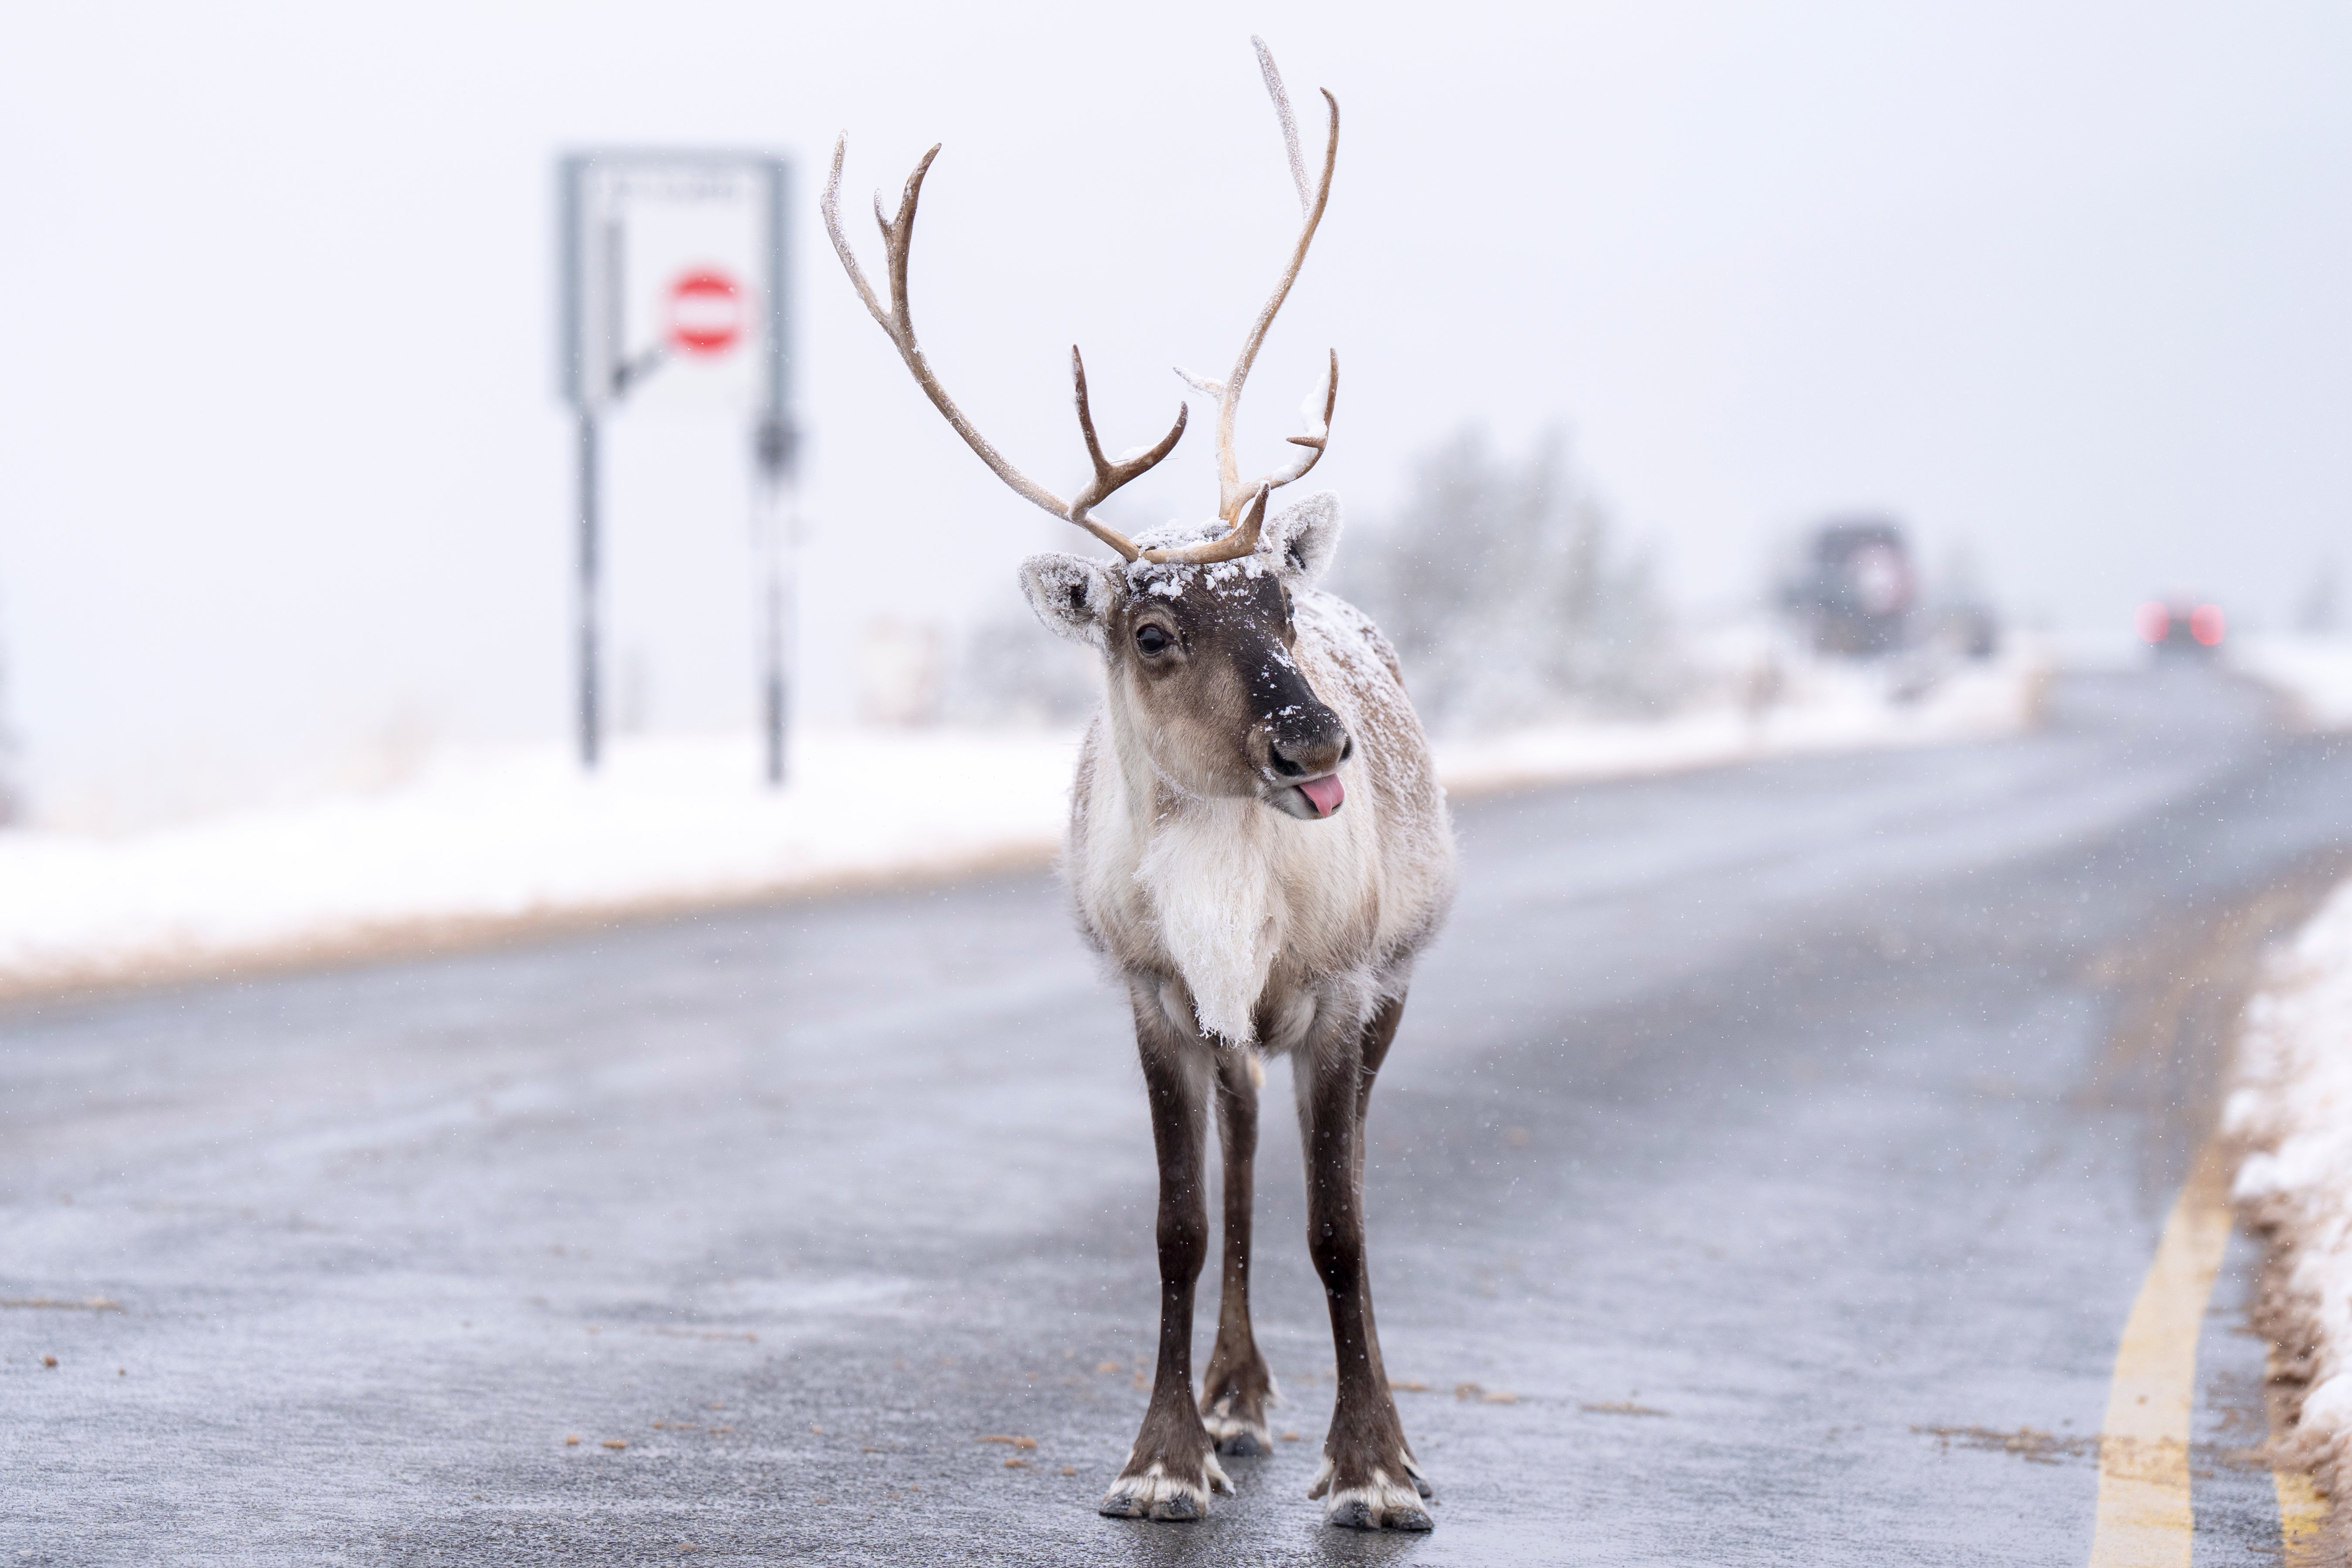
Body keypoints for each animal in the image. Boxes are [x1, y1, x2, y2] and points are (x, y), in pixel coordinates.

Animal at [823, 39, 1457, 1534]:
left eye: (1277, 601)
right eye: (1154, 631)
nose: (1316, 742)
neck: (1232, 899)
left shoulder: (1345, 988)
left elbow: (1341, 1223)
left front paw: (1377, 1468)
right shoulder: (1158, 993)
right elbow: (1178, 1222)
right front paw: (1166, 1454)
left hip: (1392, 982)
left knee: (1331, 1168)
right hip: (1232, 1033)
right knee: (1239, 1157)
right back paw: (1236, 1390)